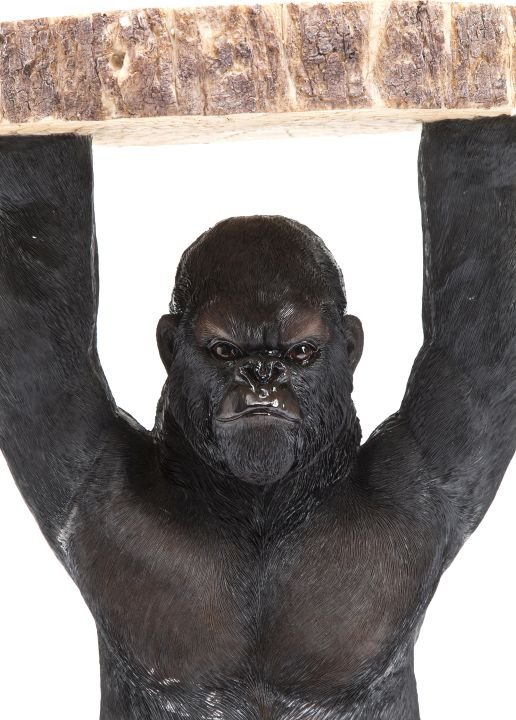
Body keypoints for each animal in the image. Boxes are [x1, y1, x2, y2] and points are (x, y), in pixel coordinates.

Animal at [0, 118, 514, 720]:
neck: (260, 512)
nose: (263, 375)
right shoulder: (87, 469)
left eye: (301, 352)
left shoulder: (427, 471)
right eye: (225, 350)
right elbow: (33, 270)